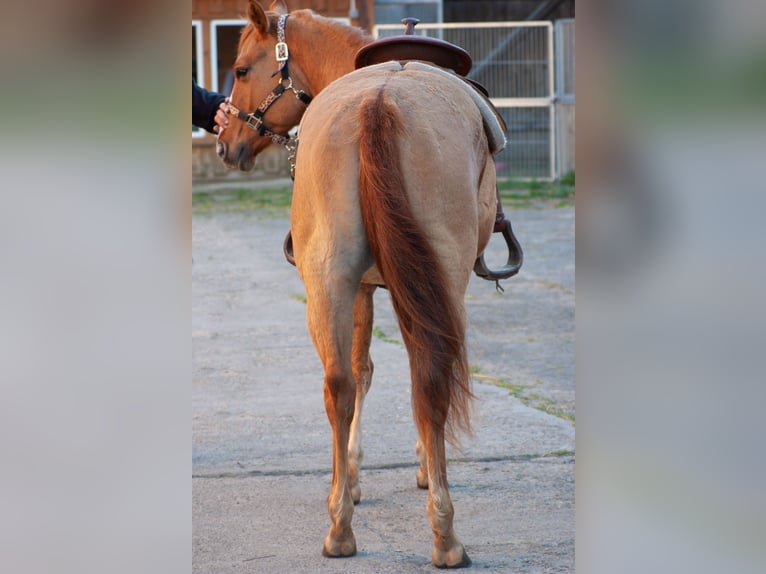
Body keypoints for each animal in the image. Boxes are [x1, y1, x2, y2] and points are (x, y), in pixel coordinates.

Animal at [216, 1, 500, 567]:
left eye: (240, 69)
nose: (224, 143)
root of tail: (379, 100)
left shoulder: (365, 288)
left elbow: (359, 373)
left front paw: (352, 476)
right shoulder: (388, 289)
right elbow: (383, 372)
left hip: (328, 284)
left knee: (338, 385)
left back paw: (340, 527)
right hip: (438, 282)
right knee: (427, 379)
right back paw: (445, 536)